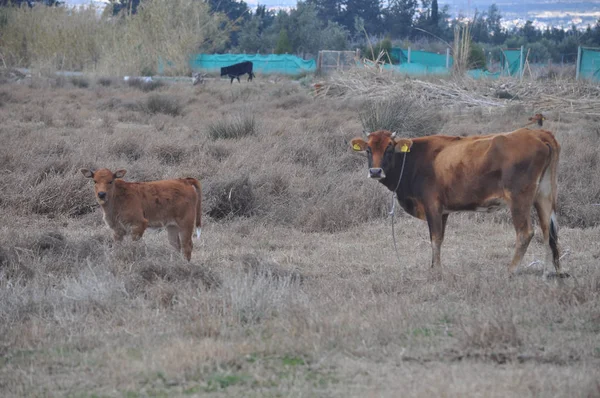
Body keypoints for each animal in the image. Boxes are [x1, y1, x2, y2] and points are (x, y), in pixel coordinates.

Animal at [350, 127, 564, 276]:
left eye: (389, 148)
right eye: (368, 149)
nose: (375, 171)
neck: (413, 158)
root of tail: (537, 133)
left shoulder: (433, 207)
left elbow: (435, 239)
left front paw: (436, 270)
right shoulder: (443, 212)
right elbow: (439, 239)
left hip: (519, 199)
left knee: (525, 233)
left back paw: (511, 270)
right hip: (543, 196)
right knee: (548, 231)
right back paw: (548, 271)